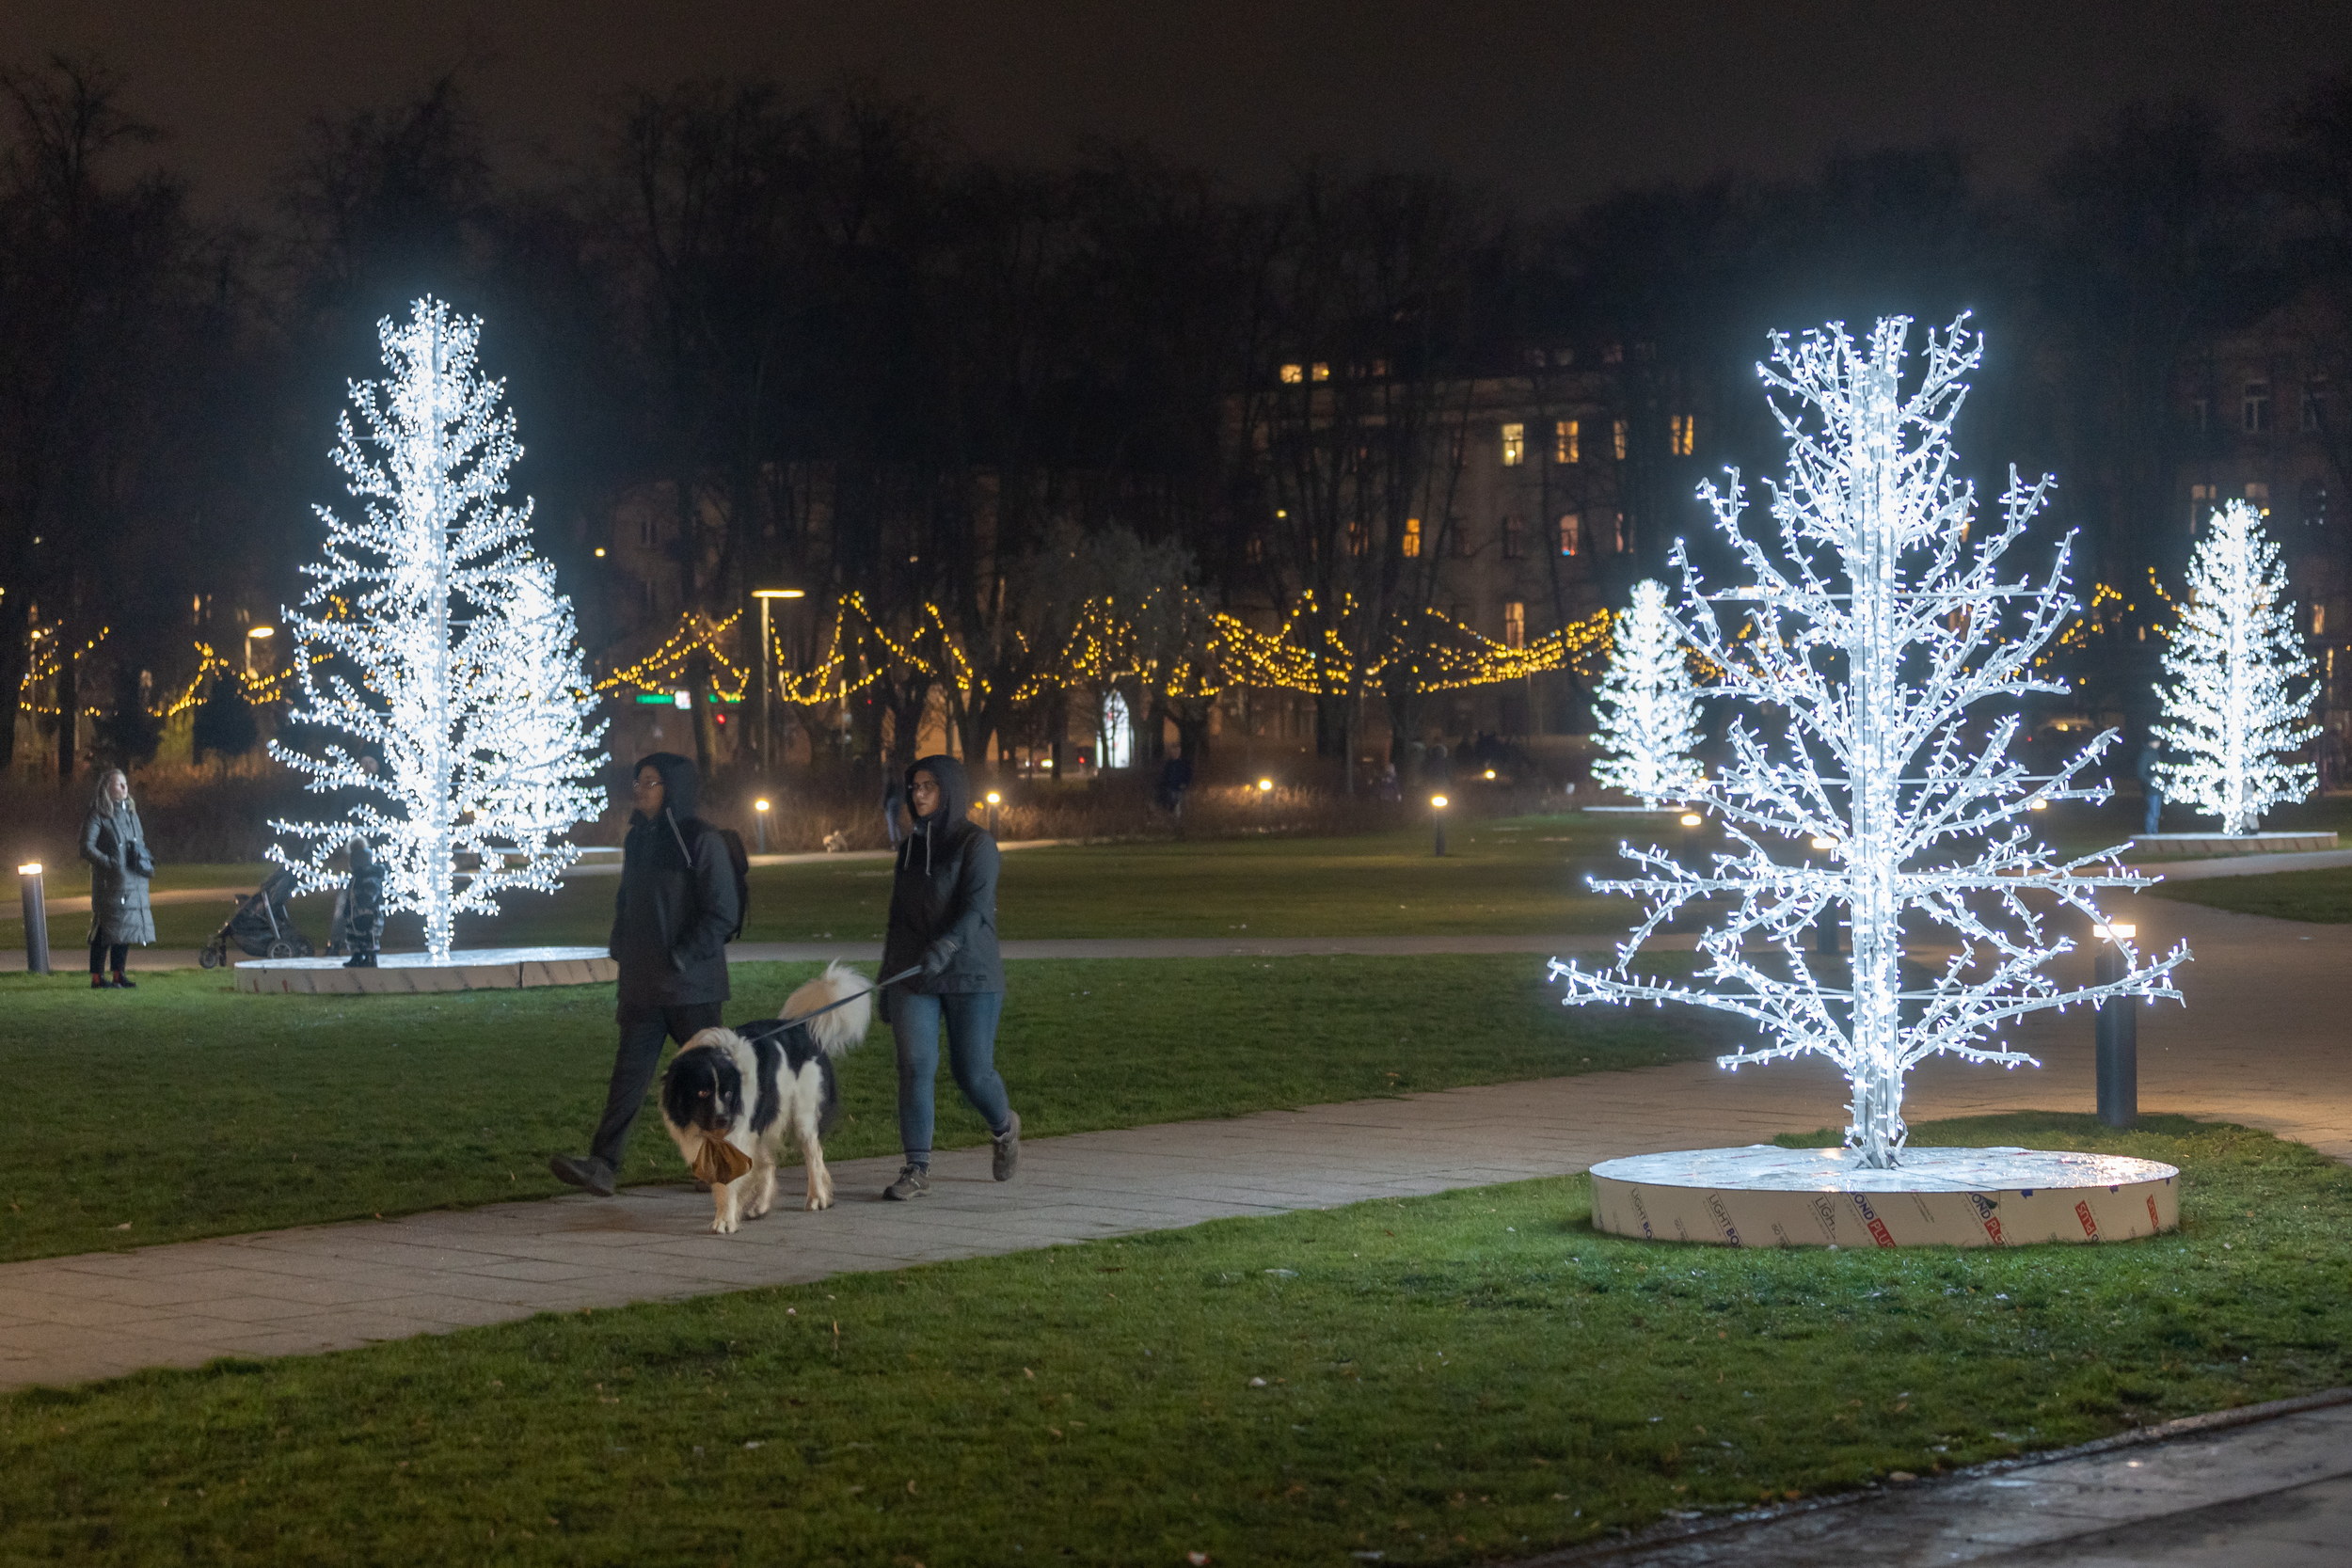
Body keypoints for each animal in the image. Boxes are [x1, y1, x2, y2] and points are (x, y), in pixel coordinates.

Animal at [663, 963, 875, 1231]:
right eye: (702, 1092)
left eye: (728, 1093)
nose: (723, 1121)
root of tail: (801, 1027)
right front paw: (729, 1212)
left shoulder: (738, 1132)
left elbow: (729, 1182)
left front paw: (725, 1220)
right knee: (768, 1162)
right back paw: (761, 1206)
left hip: (801, 1114)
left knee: (813, 1153)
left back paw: (817, 1197)